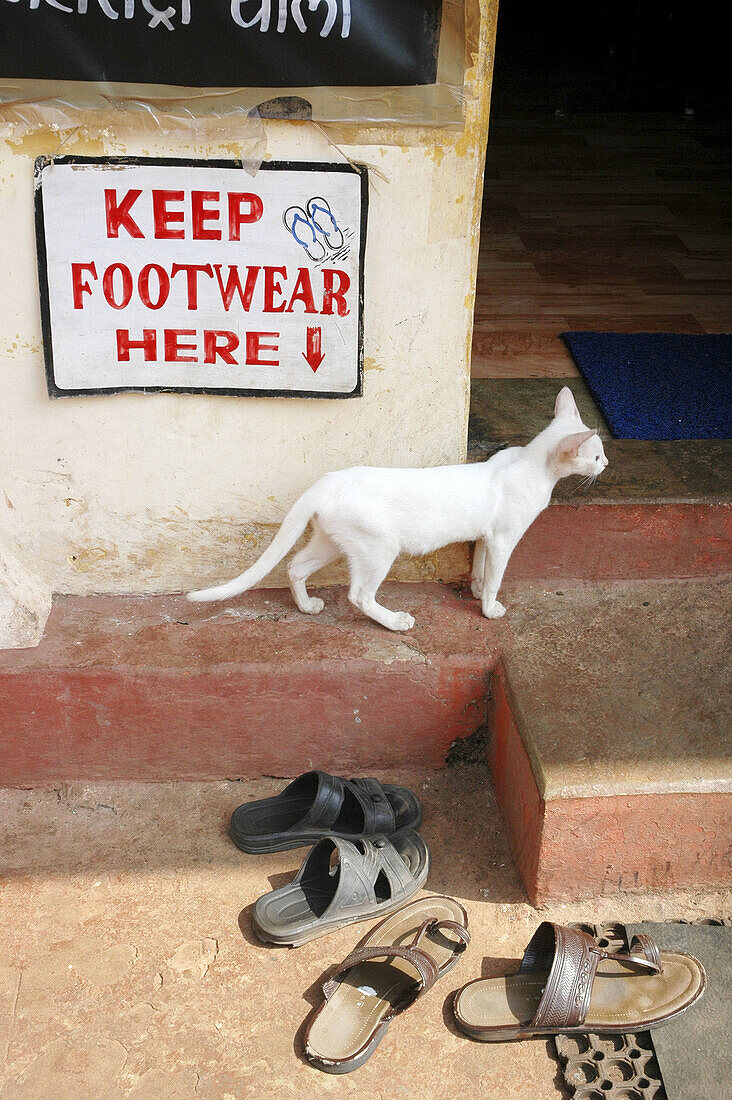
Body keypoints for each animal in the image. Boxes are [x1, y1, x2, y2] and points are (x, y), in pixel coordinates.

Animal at [187, 387, 603, 633]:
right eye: (597, 455)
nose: (608, 464)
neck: (533, 465)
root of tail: (327, 481)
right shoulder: (503, 539)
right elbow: (495, 578)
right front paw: (489, 609)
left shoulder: (487, 537)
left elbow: (480, 569)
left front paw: (476, 590)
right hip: (379, 547)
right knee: (359, 595)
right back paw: (396, 621)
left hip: (332, 541)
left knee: (295, 566)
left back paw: (307, 607)